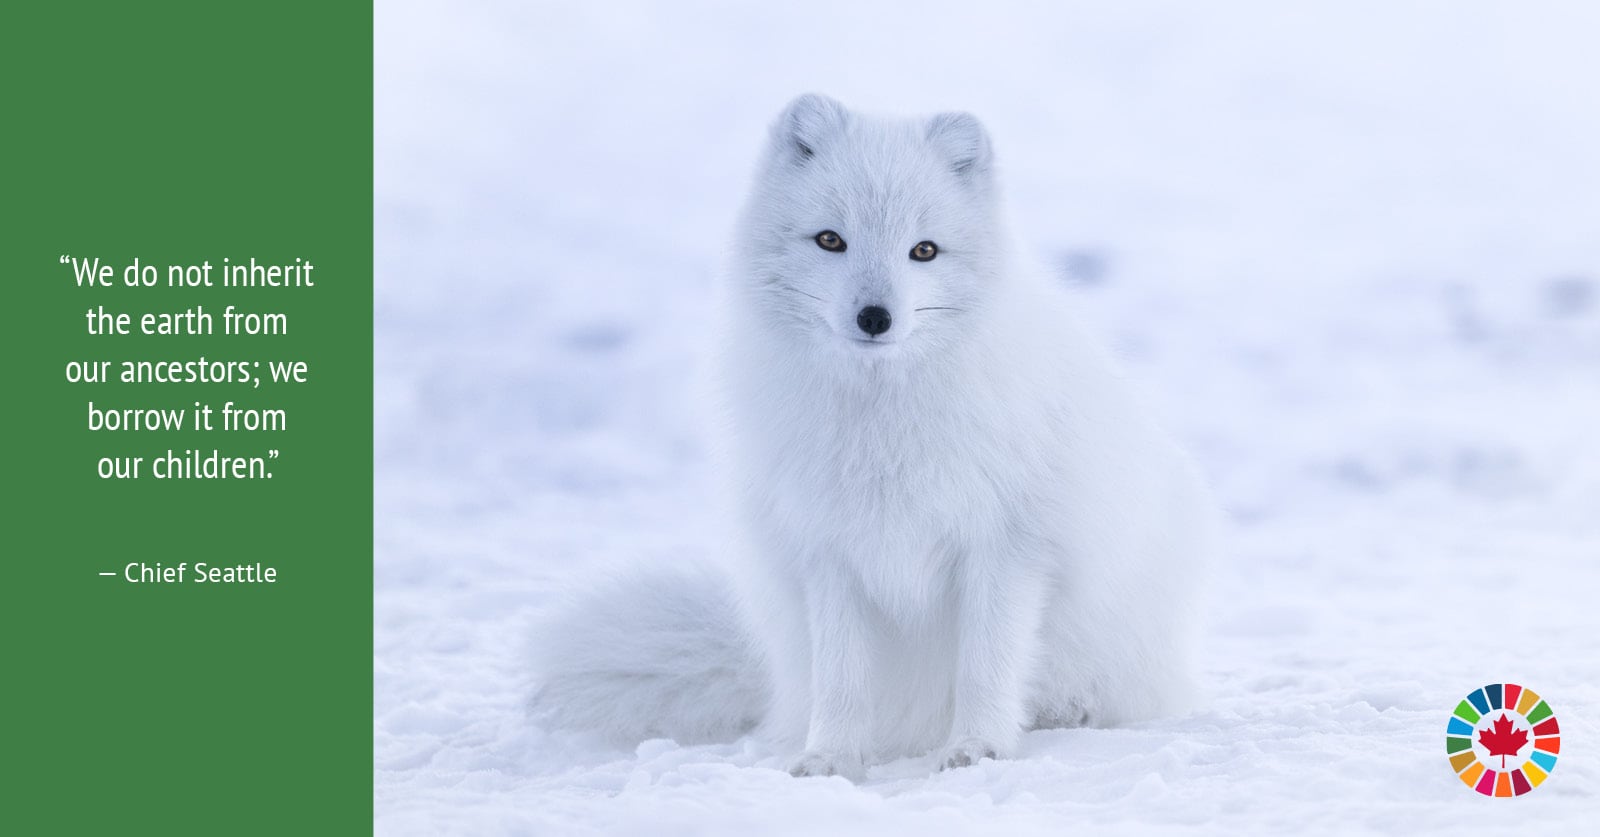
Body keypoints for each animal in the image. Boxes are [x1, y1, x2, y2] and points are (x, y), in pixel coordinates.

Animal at [531, 94, 1203, 784]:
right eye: (831, 240)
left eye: (924, 250)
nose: (875, 317)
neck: (881, 423)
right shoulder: (829, 552)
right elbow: (842, 679)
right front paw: (829, 758)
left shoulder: (1006, 547)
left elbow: (985, 666)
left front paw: (978, 749)